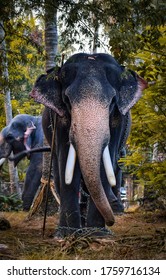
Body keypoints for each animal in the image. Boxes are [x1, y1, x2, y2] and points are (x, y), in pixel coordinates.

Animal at [29, 52, 147, 236]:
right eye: (67, 100)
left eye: (112, 101)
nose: (111, 222)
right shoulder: (59, 119)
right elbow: (66, 161)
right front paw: (67, 234)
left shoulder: (118, 120)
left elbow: (108, 158)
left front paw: (97, 233)